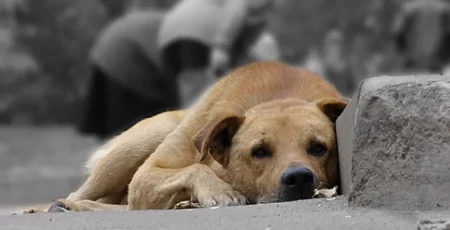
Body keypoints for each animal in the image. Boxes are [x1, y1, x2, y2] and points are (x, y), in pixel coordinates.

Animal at [16, 61, 348, 214]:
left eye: (319, 148)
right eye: (259, 151)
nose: (299, 178)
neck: (278, 97)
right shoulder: (147, 175)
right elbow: (195, 167)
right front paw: (220, 191)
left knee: (125, 207)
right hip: (140, 144)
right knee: (82, 193)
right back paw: (49, 207)